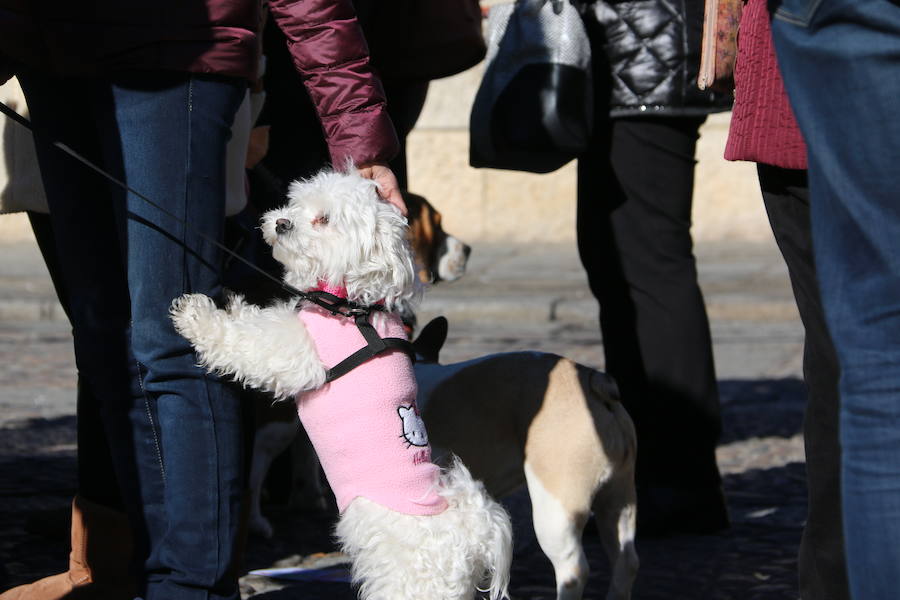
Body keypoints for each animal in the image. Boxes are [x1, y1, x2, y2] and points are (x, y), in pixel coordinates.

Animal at [172, 169, 510, 600]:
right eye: (296, 205)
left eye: (324, 220)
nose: (281, 223)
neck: (351, 305)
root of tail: (471, 537)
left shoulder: (295, 352)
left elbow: (247, 340)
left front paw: (196, 314)